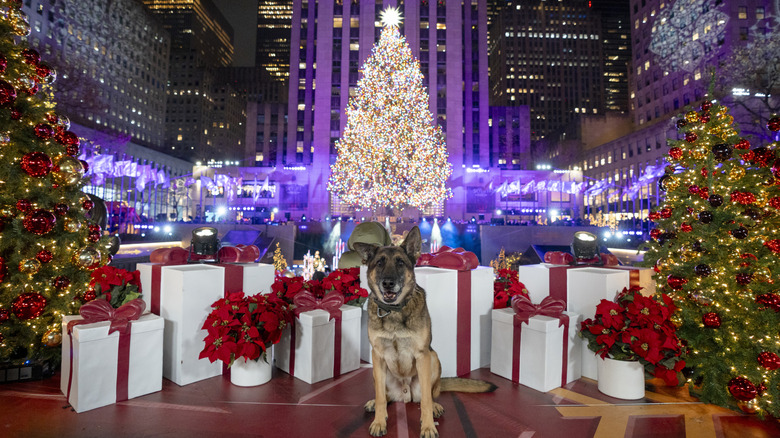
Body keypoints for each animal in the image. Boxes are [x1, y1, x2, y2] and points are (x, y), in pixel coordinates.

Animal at [354, 228, 494, 436]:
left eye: (400, 262)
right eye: (379, 263)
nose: (388, 283)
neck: (394, 310)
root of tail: (404, 394)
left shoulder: (422, 355)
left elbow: (426, 401)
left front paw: (428, 427)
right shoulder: (377, 356)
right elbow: (380, 397)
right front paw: (379, 422)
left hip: (433, 358)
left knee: (430, 394)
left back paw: (435, 406)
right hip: (378, 373)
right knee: (385, 396)